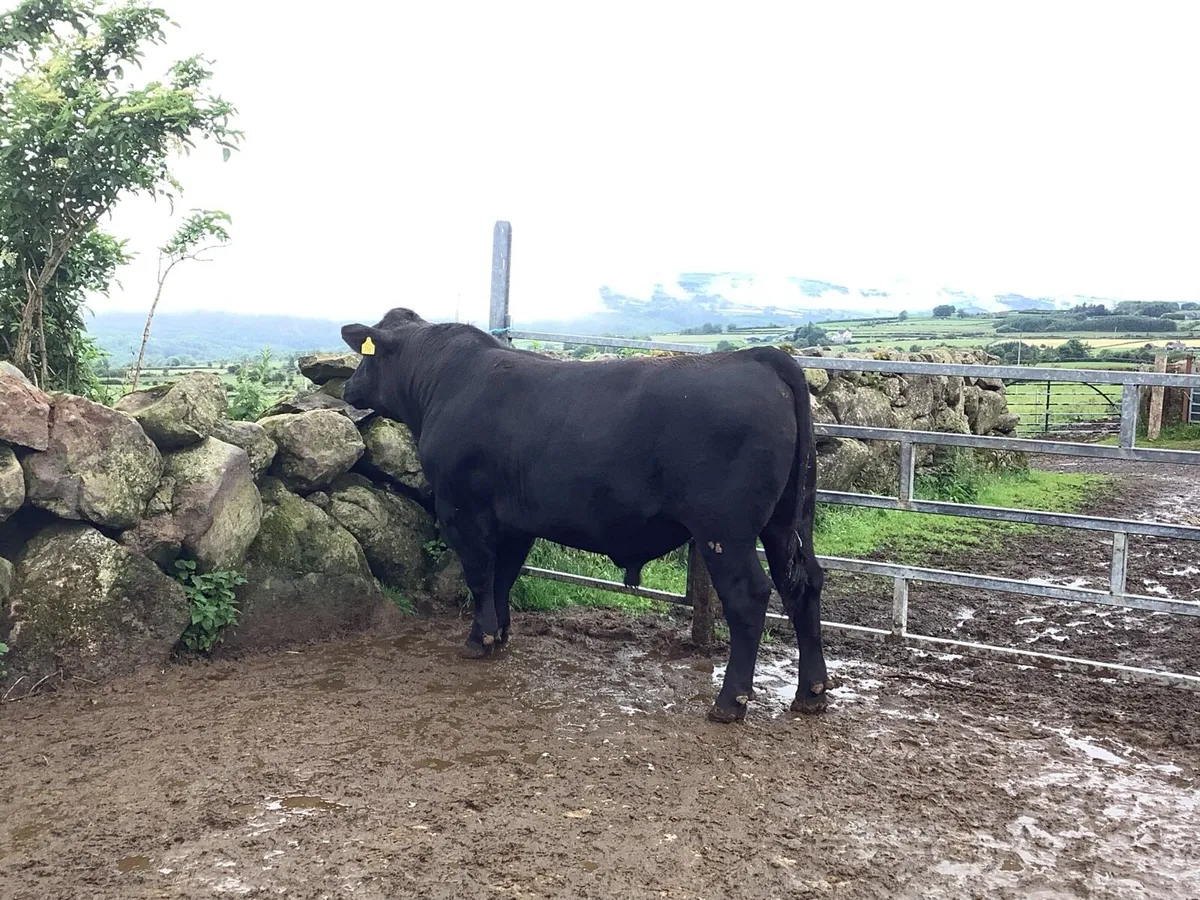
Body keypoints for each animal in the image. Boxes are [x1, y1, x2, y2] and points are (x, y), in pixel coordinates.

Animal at [340, 308, 832, 723]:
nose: (347, 388)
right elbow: (504, 577)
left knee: (749, 596)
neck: (445, 379)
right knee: (803, 584)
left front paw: (478, 640)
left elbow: (480, 574)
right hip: (785, 522)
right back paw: (811, 692)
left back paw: (730, 703)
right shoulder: (515, 521)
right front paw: (501, 632)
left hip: (724, 529)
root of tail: (758, 357)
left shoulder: (462, 507)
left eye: (364, 357)